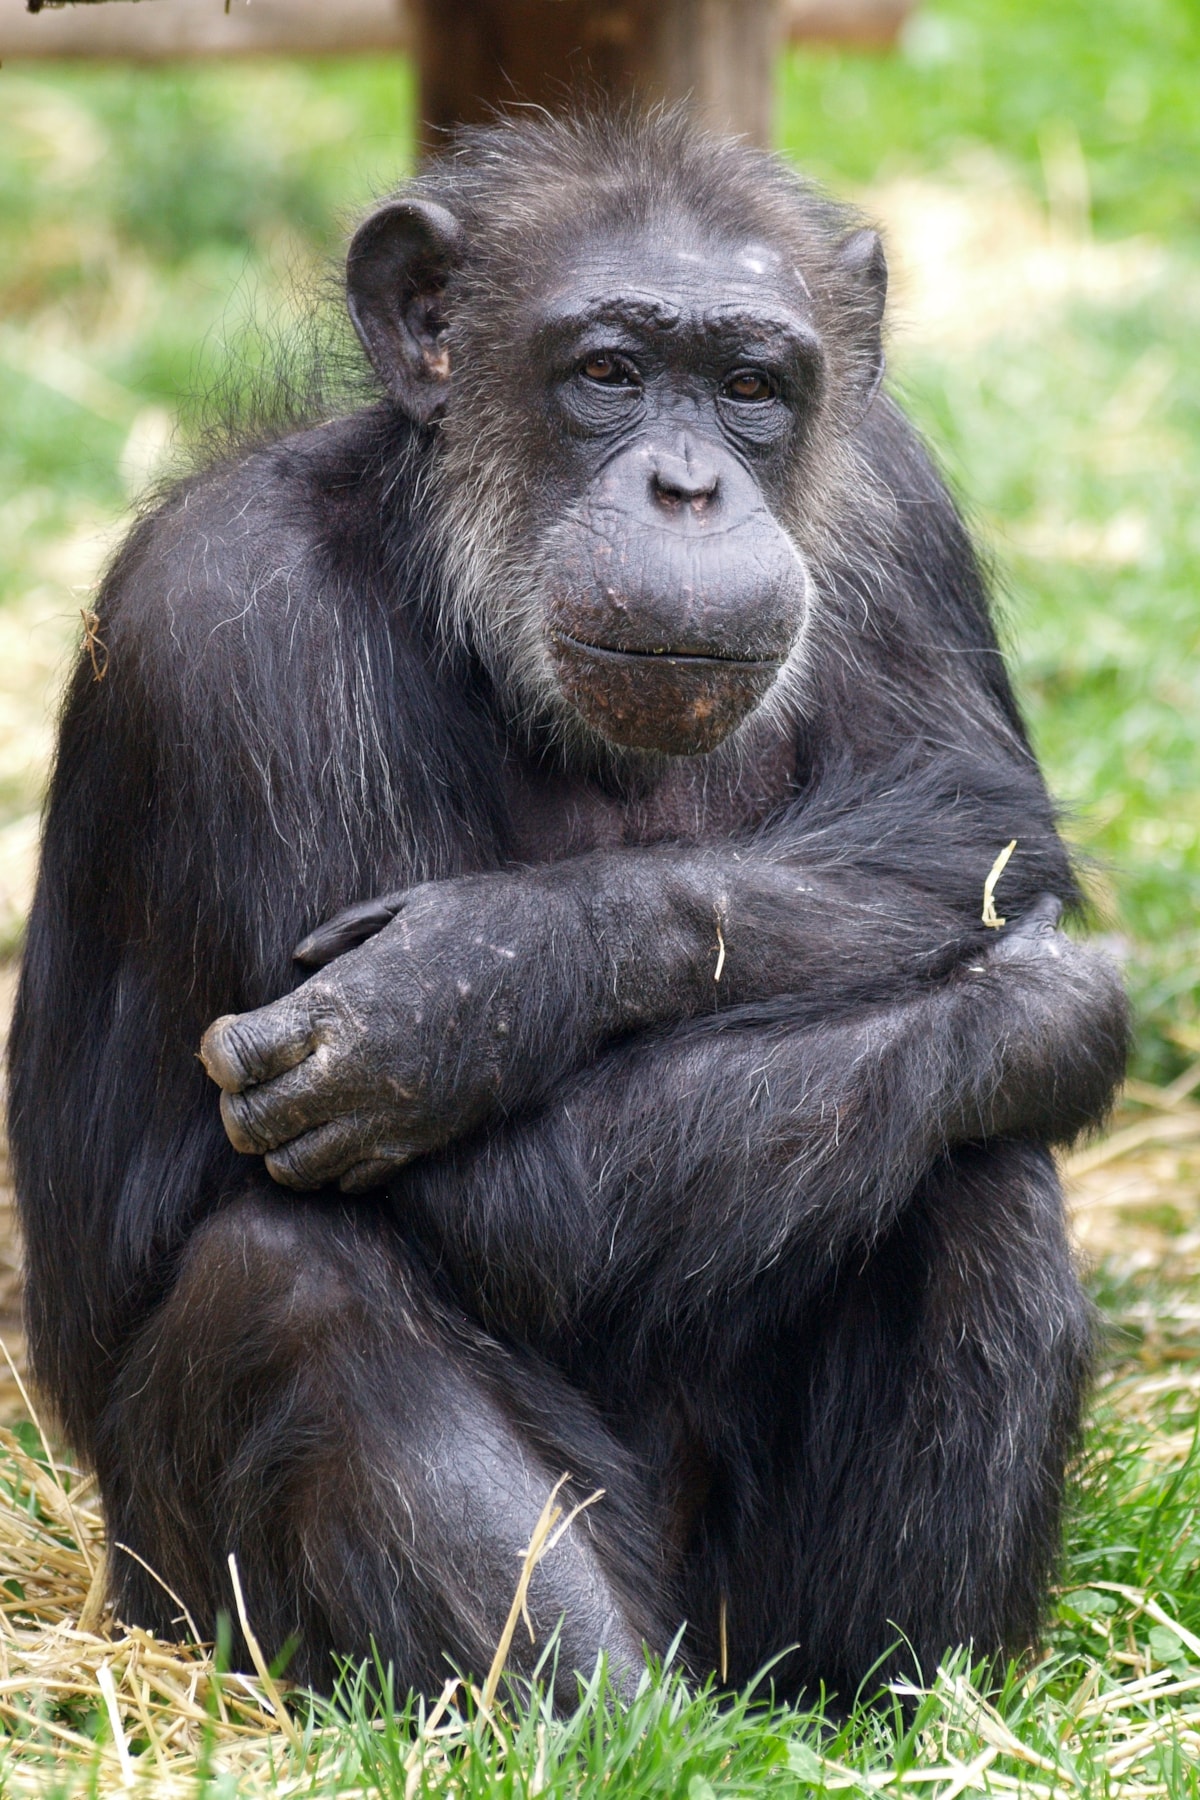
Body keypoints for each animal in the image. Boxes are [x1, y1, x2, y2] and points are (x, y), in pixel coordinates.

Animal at [9, 108, 1129, 1699]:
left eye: (750, 388)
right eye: (607, 373)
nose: (690, 488)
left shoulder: (904, 502)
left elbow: (972, 819)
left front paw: (486, 973)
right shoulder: (236, 630)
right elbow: (487, 1185)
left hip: (750, 1621)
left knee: (980, 1159)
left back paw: (887, 1703)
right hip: (177, 1604)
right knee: (293, 1276)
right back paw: (610, 1719)